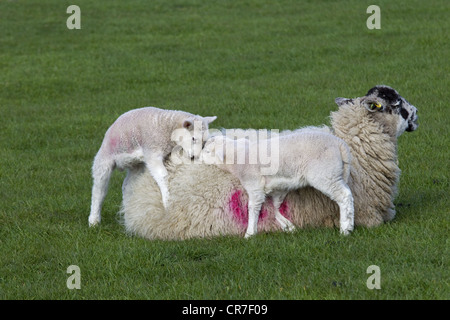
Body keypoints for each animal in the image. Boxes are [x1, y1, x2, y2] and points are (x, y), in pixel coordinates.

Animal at [87, 106, 216, 226]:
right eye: (193, 138)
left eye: (204, 142)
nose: (195, 157)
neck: (168, 128)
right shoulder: (152, 152)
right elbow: (163, 175)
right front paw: (167, 202)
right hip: (104, 158)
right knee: (99, 189)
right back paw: (94, 220)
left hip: (136, 165)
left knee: (127, 185)